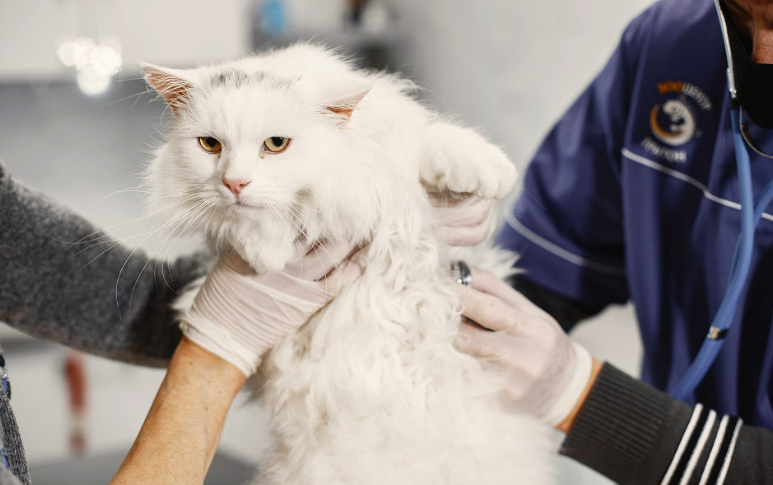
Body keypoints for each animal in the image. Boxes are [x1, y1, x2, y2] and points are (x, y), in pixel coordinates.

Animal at [143, 43, 556, 482]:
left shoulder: (392, 148)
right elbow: (243, 221)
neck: (342, 171)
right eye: (210, 145)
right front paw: (268, 252)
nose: (234, 183)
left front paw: (491, 174)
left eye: (276, 144)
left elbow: (433, 142)